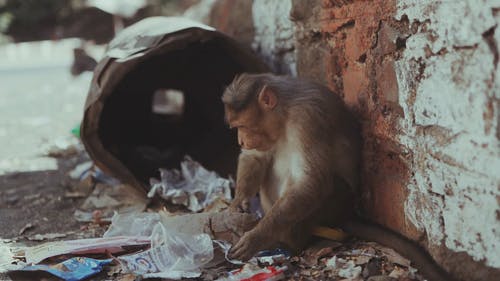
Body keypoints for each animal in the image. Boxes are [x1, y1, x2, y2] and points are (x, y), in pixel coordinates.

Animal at [223, 72, 458, 280]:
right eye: (236, 127)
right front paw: (238, 203)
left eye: (243, 126)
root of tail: (345, 213)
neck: (285, 112)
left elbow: (311, 182)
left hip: (334, 203)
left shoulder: (307, 118)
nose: (241, 140)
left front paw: (257, 237)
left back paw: (289, 244)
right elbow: (255, 157)